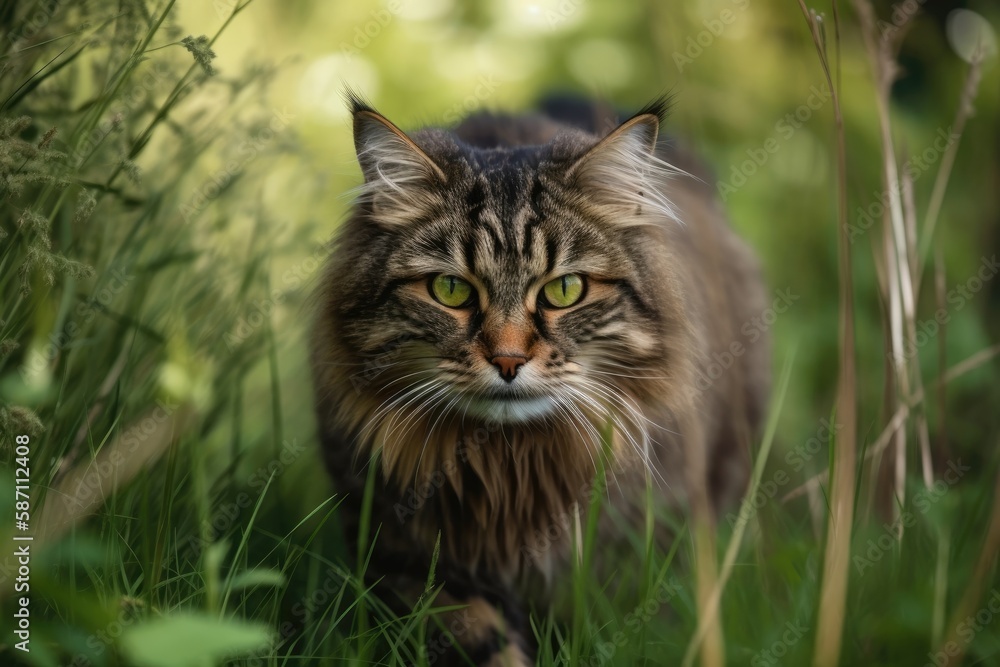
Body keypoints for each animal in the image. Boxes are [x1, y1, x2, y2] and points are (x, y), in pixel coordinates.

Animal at [308, 94, 768, 667]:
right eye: (451, 290)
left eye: (564, 290)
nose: (507, 361)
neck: (512, 469)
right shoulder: (407, 555)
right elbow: (483, 641)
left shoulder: (637, 559)